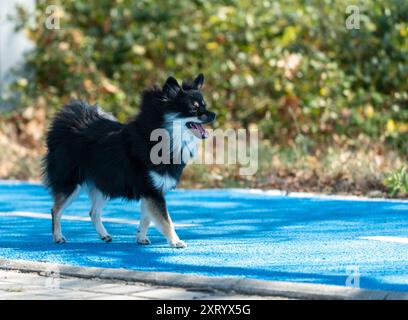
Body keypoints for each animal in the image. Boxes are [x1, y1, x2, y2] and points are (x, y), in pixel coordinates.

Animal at [43, 74, 217, 248]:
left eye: (204, 105)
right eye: (194, 108)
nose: (214, 114)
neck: (166, 139)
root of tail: (69, 126)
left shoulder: (151, 192)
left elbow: (147, 219)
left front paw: (141, 237)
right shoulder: (152, 191)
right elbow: (166, 220)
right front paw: (175, 241)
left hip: (103, 184)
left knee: (93, 212)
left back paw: (104, 235)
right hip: (72, 184)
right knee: (56, 210)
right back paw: (58, 236)